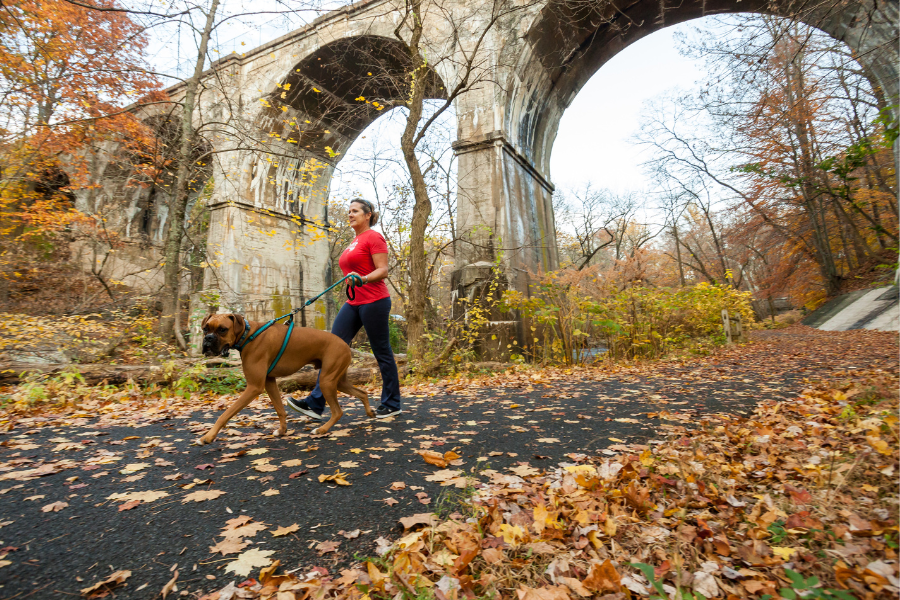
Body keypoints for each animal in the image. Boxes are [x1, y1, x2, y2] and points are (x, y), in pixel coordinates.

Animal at [198, 312, 376, 442]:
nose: (208, 339)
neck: (248, 335)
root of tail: (345, 344)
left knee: (338, 411)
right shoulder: (269, 382)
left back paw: (322, 430)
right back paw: (370, 413)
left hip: (327, 381)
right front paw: (282, 430)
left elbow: (225, 414)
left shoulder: (254, 387)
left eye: (222, 329)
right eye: (205, 328)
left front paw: (207, 437)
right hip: (338, 381)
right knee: (362, 393)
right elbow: (279, 409)